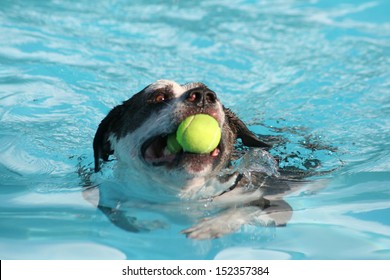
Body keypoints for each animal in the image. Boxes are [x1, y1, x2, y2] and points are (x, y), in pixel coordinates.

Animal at [92, 80, 308, 240]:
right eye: (159, 97)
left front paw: (212, 225)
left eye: (211, 95)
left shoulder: (273, 202)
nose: (203, 95)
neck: (184, 194)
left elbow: (247, 209)